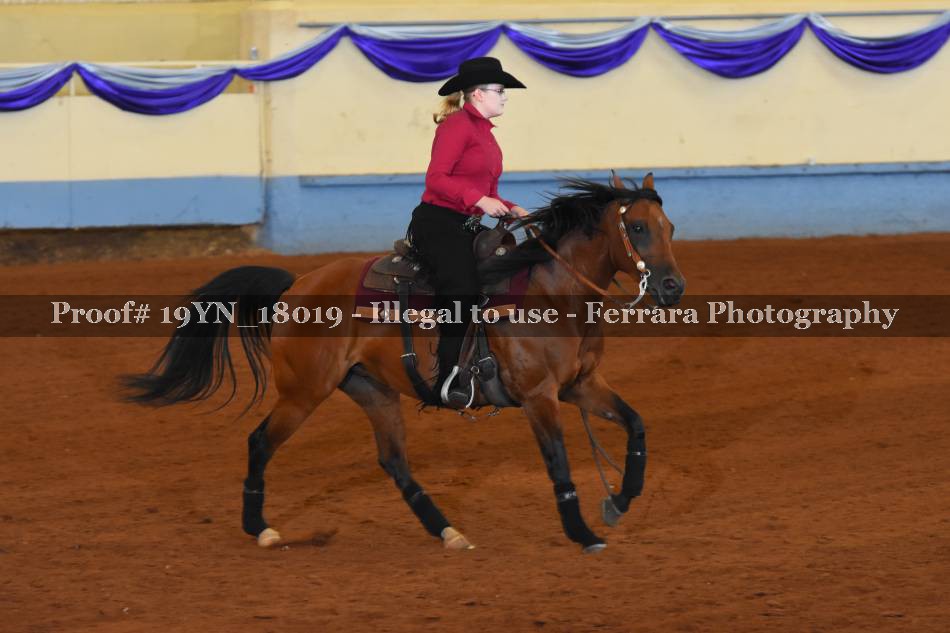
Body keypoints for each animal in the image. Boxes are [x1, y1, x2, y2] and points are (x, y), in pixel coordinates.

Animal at [124, 172, 685, 553]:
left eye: (671, 227)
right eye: (637, 227)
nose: (672, 287)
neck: (550, 293)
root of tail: (296, 284)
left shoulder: (582, 384)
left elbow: (636, 425)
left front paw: (620, 500)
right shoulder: (539, 395)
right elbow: (559, 462)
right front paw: (582, 531)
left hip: (373, 390)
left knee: (393, 462)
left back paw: (448, 531)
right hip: (304, 392)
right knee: (261, 442)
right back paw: (259, 528)